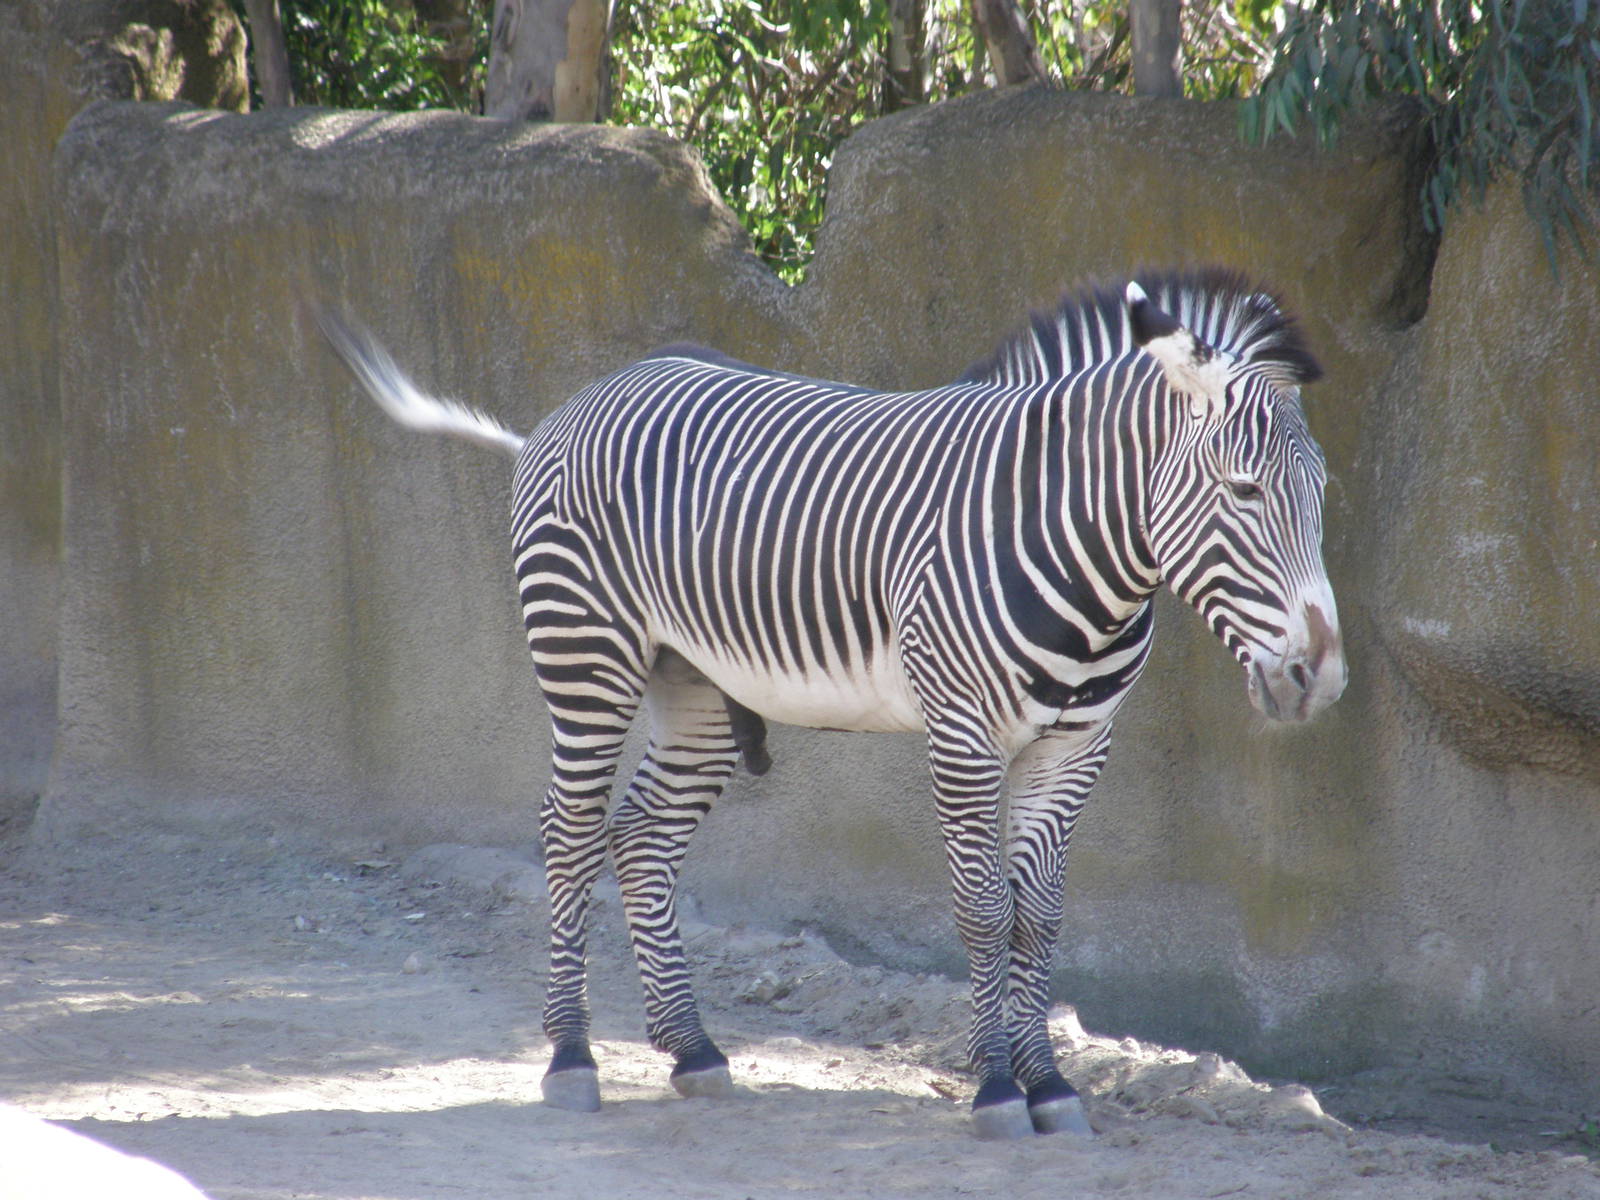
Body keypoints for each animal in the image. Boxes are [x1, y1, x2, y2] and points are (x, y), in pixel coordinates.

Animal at [315, 266, 1346, 1141]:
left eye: (1322, 492)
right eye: (1244, 490)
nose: (1321, 677)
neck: (1077, 544)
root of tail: (570, 408)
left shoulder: (1076, 745)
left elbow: (1040, 915)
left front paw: (1049, 1083)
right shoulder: (962, 731)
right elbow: (983, 909)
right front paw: (998, 1089)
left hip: (695, 684)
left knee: (641, 837)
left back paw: (692, 1049)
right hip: (587, 658)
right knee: (568, 834)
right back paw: (571, 1059)